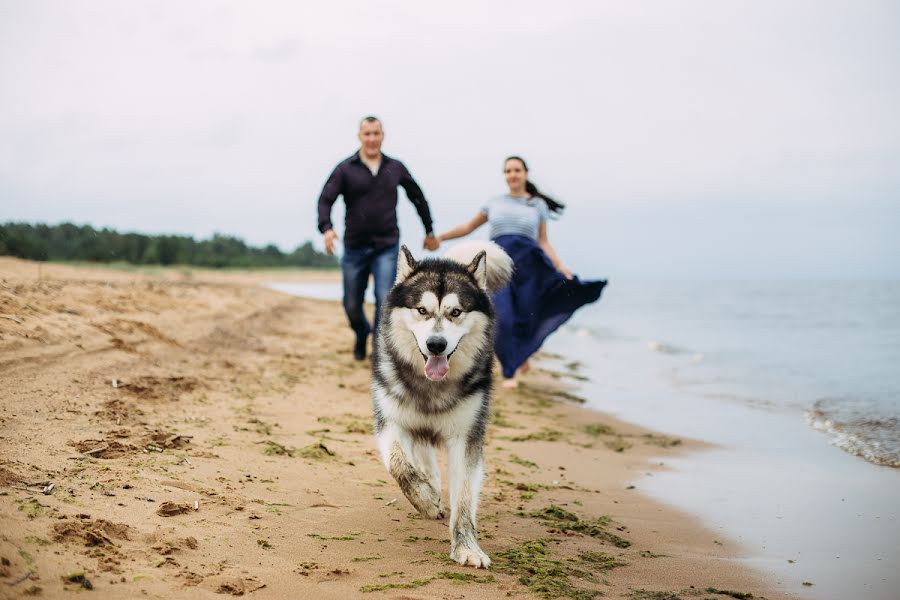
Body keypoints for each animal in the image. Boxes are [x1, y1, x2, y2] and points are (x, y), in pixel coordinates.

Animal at [372, 240, 512, 568]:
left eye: (456, 312)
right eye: (422, 310)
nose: (436, 345)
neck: (431, 386)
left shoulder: (466, 437)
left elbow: (463, 498)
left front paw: (467, 547)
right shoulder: (390, 422)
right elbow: (399, 465)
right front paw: (424, 499)